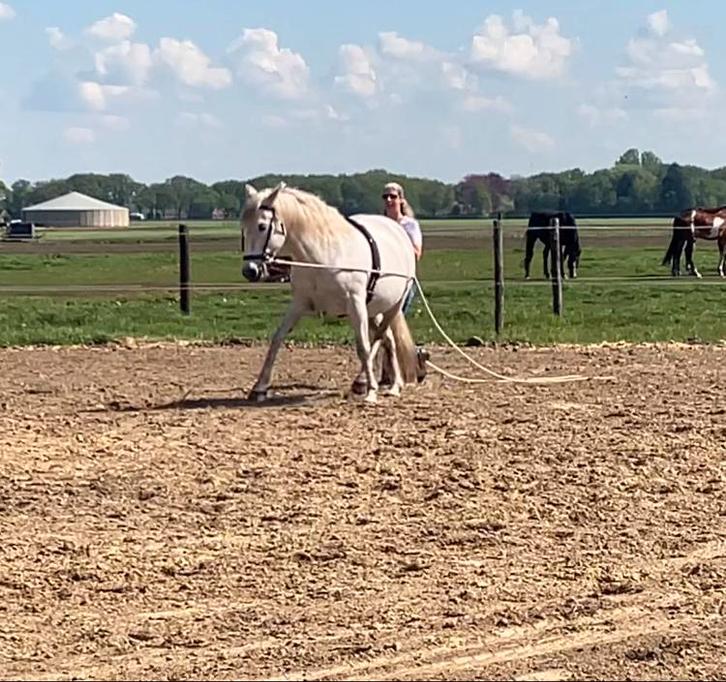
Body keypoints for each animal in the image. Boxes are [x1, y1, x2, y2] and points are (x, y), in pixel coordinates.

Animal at [240, 182, 420, 403]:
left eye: (262, 226)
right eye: (243, 228)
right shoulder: (299, 303)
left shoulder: (355, 304)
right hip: (373, 310)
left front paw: (371, 391)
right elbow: (276, 340)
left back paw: (371, 383)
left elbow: (363, 346)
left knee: (378, 339)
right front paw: (260, 388)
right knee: (388, 340)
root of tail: (398, 231)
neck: (323, 257)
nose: (250, 271)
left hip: (393, 306)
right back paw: (394, 385)